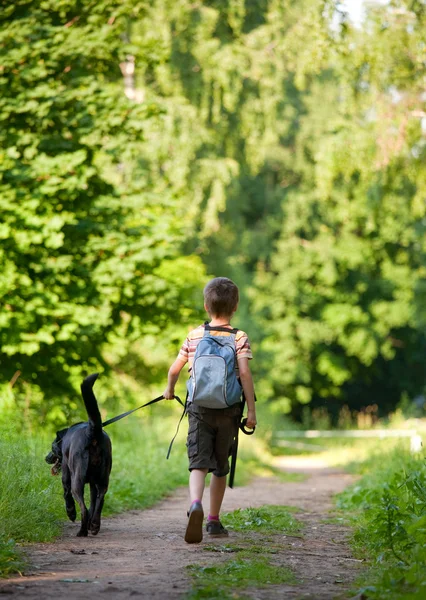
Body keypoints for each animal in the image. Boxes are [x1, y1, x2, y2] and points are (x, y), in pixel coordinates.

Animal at [45, 372, 112, 536]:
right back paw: (94, 525)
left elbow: (66, 494)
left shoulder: (66, 475)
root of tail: (92, 431)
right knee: (99, 501)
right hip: (103, 479)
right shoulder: (93, 484)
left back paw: (82, 531)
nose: (46, 458)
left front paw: (70, 512)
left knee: (83, 507)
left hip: (77, 478)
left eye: (53, 446)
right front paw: (91, 524)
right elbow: (94, 502)